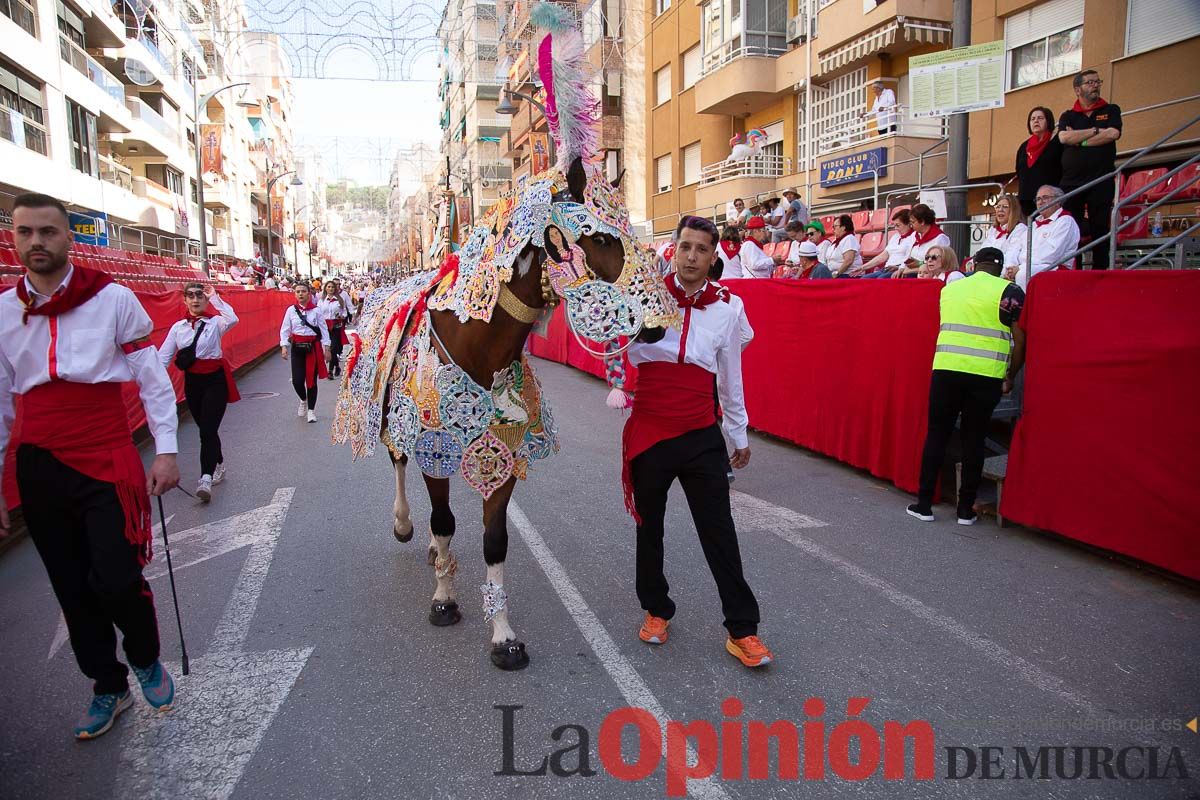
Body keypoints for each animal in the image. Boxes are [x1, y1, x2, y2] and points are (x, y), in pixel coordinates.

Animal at [333, 4, 681, 671]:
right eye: (602, 237)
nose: (660, 320)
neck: (478, 350)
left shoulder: (506, 458)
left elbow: (494, 540)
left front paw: (502, 635)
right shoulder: (437, 450)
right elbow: (445, 519)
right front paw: (445, 598)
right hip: (392, 427)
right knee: (398, 468)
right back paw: (406, 527)